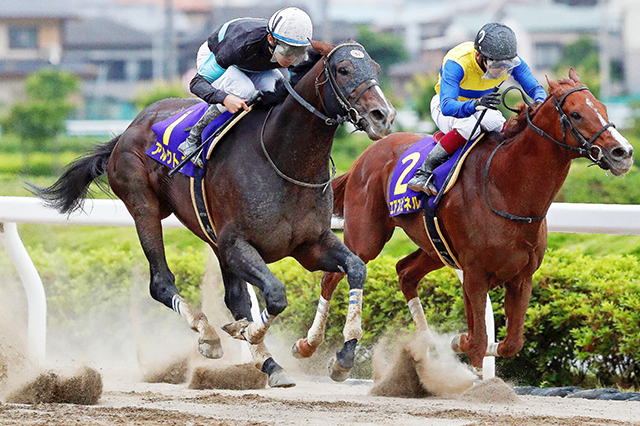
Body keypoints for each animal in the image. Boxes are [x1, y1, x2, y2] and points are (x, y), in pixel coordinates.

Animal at [31, 40, 396, 386]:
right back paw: (209, 335)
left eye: (376, 67)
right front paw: (247, 332)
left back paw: (268, 363)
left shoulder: (310, 245)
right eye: (344, 69)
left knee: (235, 297)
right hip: (144, 207)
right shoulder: (237, 245)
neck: (283, 159)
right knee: (161, 283)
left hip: (212, 238)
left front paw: (343, 356)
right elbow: (276, 296)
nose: (384, 116)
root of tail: (129, 128)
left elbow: (356, 269)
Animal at [292, 68, 632, 382]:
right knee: (335, 276)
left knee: (405, 272)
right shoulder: (475, 273)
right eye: (576, 113)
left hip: (434, 247)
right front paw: (471, 360)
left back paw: (427, 347)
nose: (623, 152)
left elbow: (510, 342)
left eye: (603, 107)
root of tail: (367, 154)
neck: (506, 187)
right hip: (367, 237)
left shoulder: (521, 276)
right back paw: (316, 349)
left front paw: (459, 343)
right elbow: (480, 337)